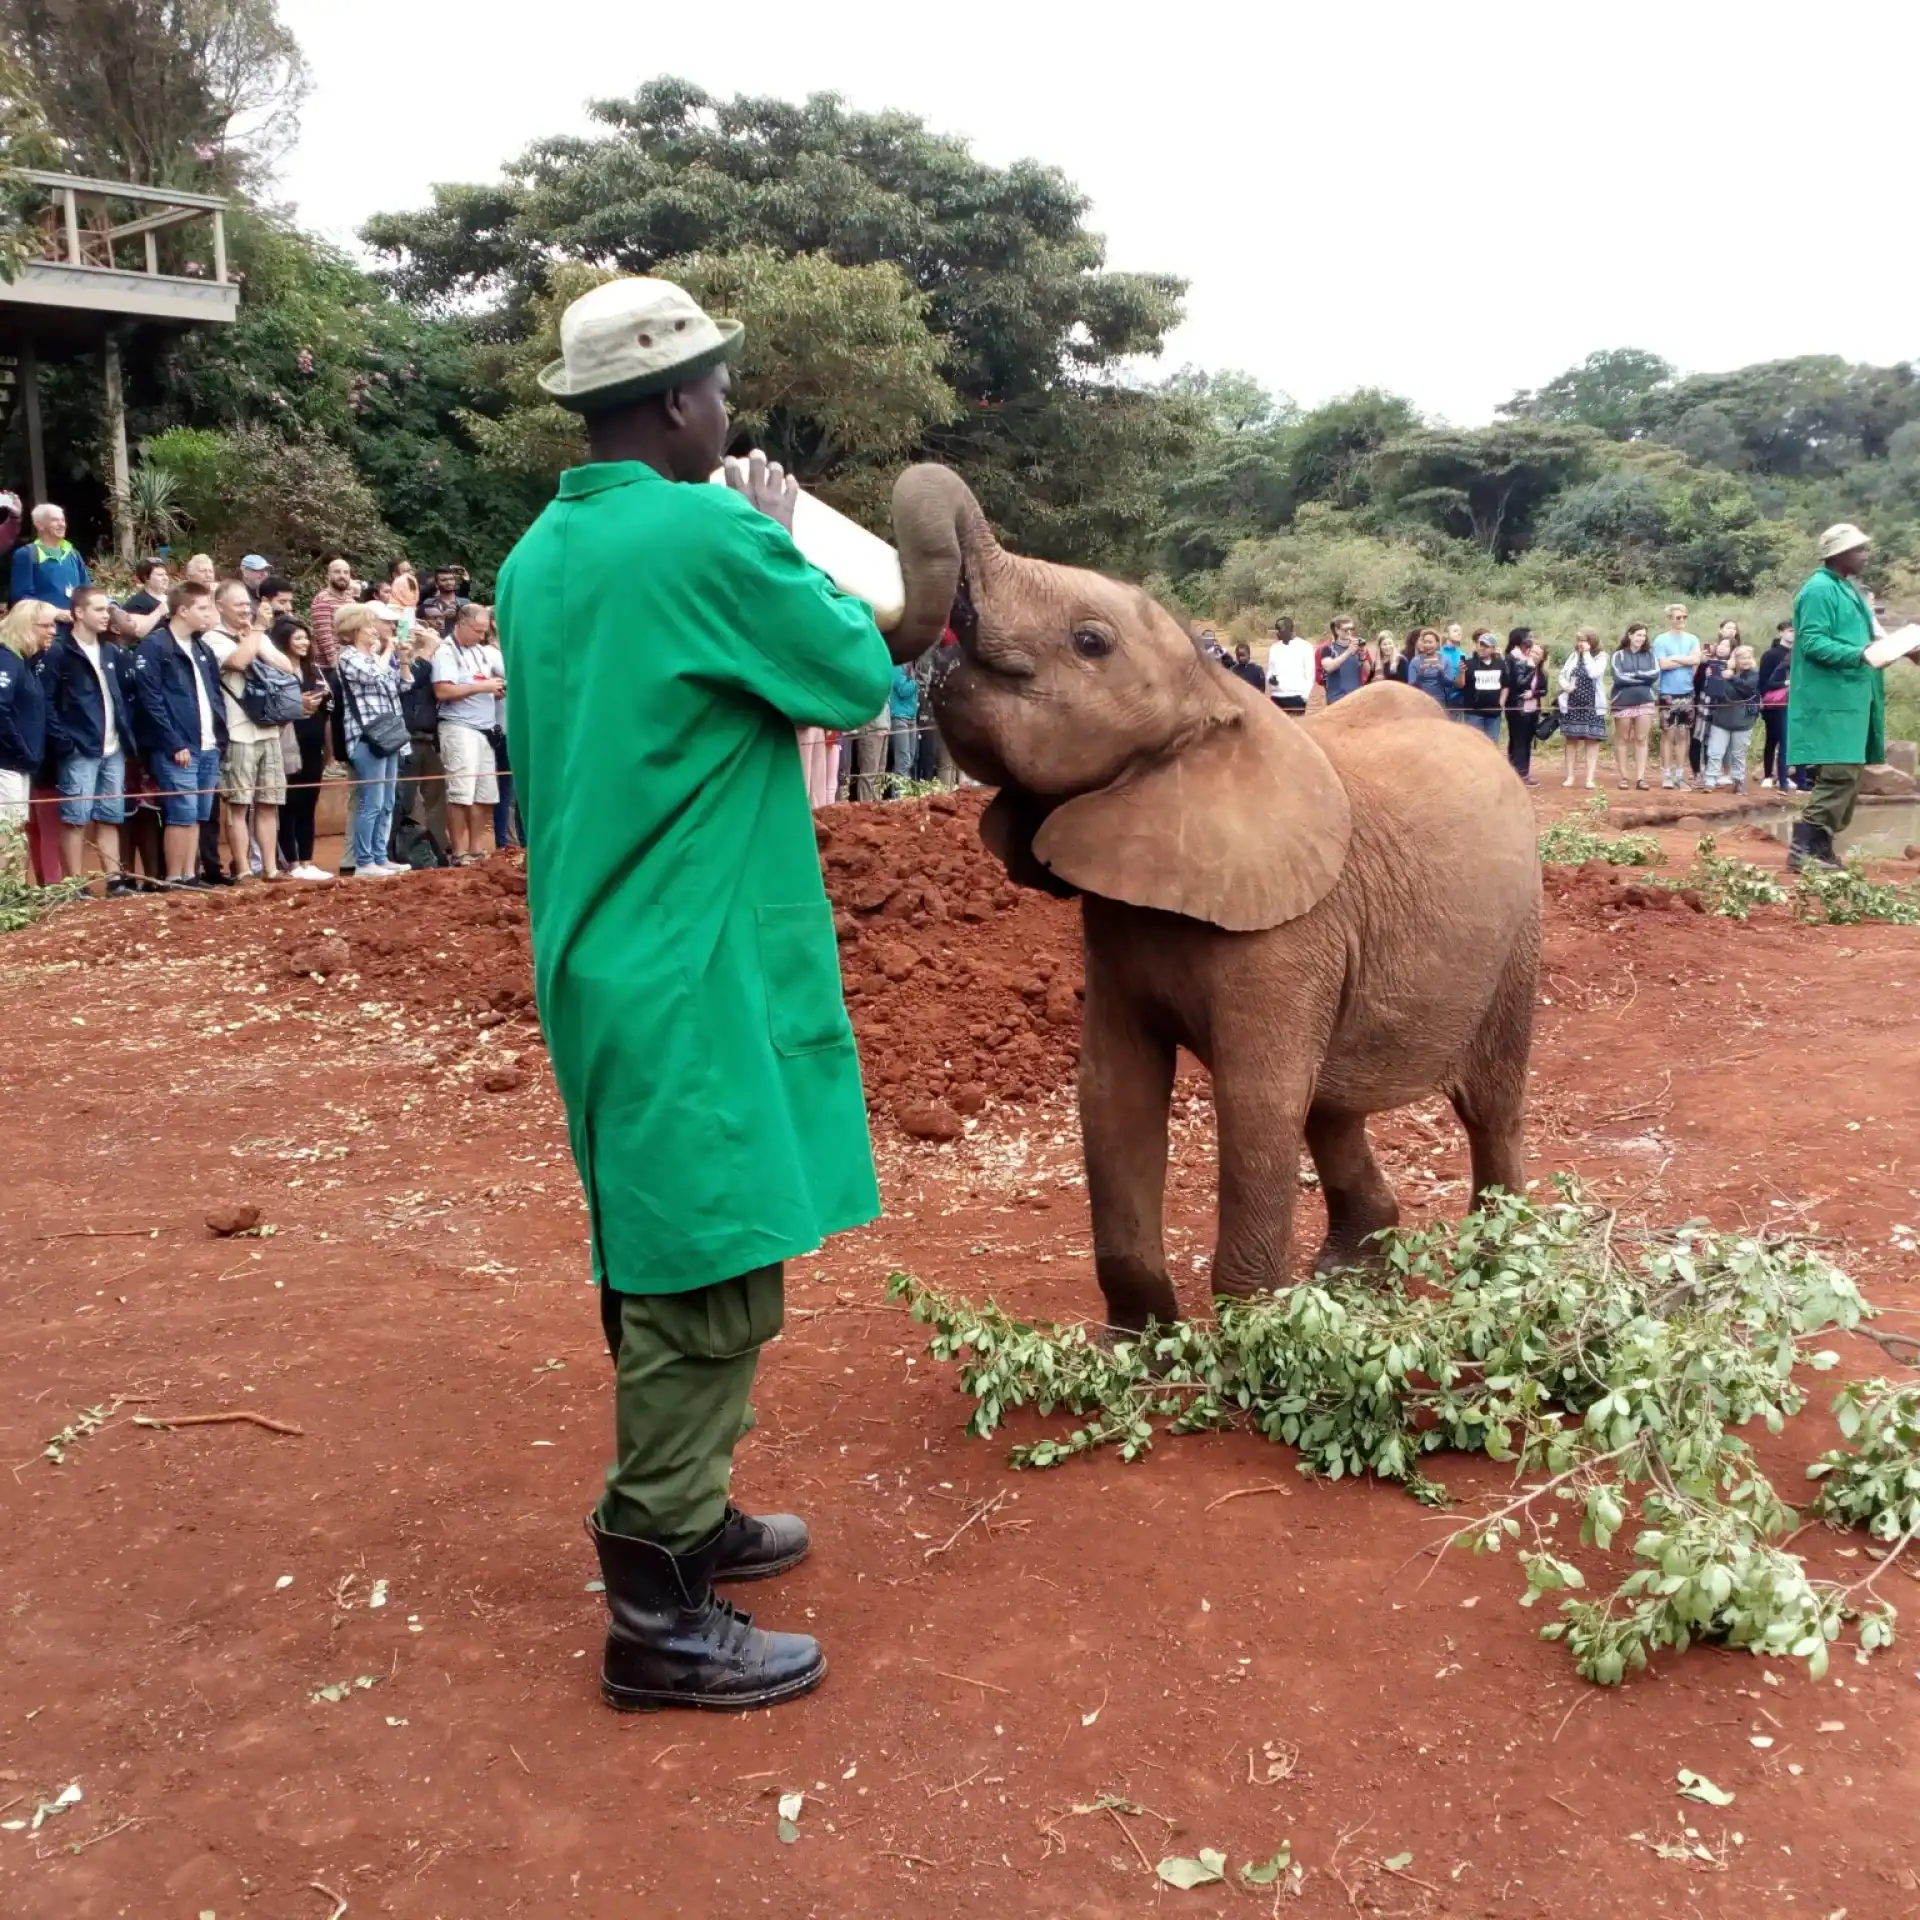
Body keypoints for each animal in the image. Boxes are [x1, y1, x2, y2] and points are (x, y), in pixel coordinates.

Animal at [887, 464, 1542, 1333]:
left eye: (1090, 642)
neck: (1216, 695)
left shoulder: (1292, 936)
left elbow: (1257, 1105)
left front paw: (1249, 1337)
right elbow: (1114, 1094)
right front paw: (1139, 1340)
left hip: (1519, 936)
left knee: (1487, 1108)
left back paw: (1501, 1271)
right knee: (1332, 1105)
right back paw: (1351, 1273)